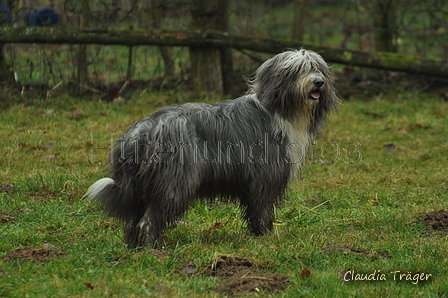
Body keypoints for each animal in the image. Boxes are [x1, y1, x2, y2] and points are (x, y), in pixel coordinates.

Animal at [84, 49, 338, 248]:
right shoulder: (264, 177)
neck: (281, 110)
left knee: (133, 222)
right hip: (174, 182)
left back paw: (134, 248)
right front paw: (266, 236)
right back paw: (151, 250)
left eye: (317, 68)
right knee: (148, 221)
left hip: (143, 187)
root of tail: (143, 130)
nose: (318, 82)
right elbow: (263, 210)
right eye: (298, 70)